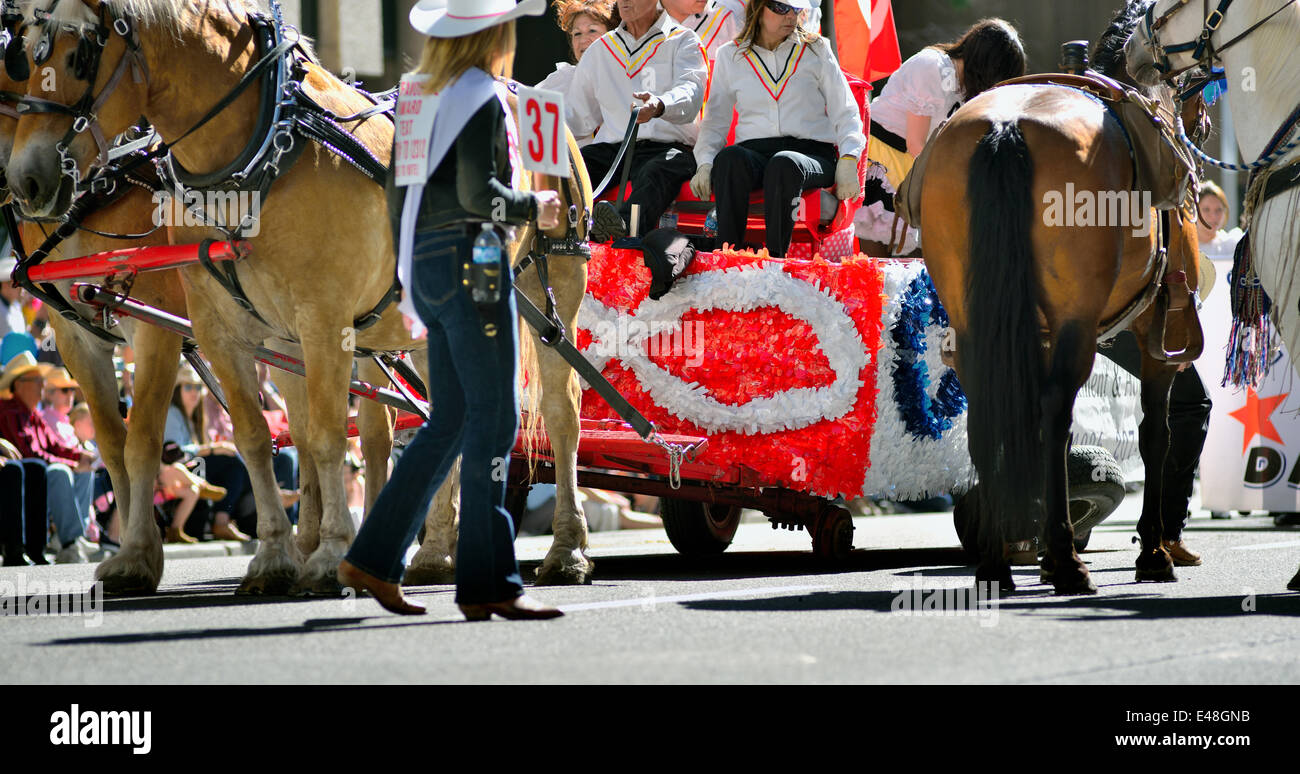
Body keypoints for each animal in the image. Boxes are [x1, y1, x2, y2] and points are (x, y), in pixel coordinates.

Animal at [920, 0, 1201, 593]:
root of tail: (1006, 126)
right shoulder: (1158, 337)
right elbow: (1155, 435)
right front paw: (1152, 553)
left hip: (975, 320)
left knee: (991, 414)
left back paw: (998, 559)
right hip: (1077, 324)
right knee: (1055, 412)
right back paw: (1068, 560)